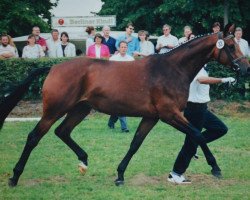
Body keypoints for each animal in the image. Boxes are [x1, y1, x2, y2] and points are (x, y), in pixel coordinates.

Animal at [0, 24, 250, 187]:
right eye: (230, 45)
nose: (245, 69)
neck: (172, 69)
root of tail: (53, 67)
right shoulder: (170, 114)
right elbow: (197, 134)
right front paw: (215, 167)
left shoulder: (152, 117)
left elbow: (135, 144)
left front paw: (120, 175)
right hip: (54, 110)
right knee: (34, 137)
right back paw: (15, 177)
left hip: (80, 109)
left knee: (62, 131)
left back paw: (84, 160)